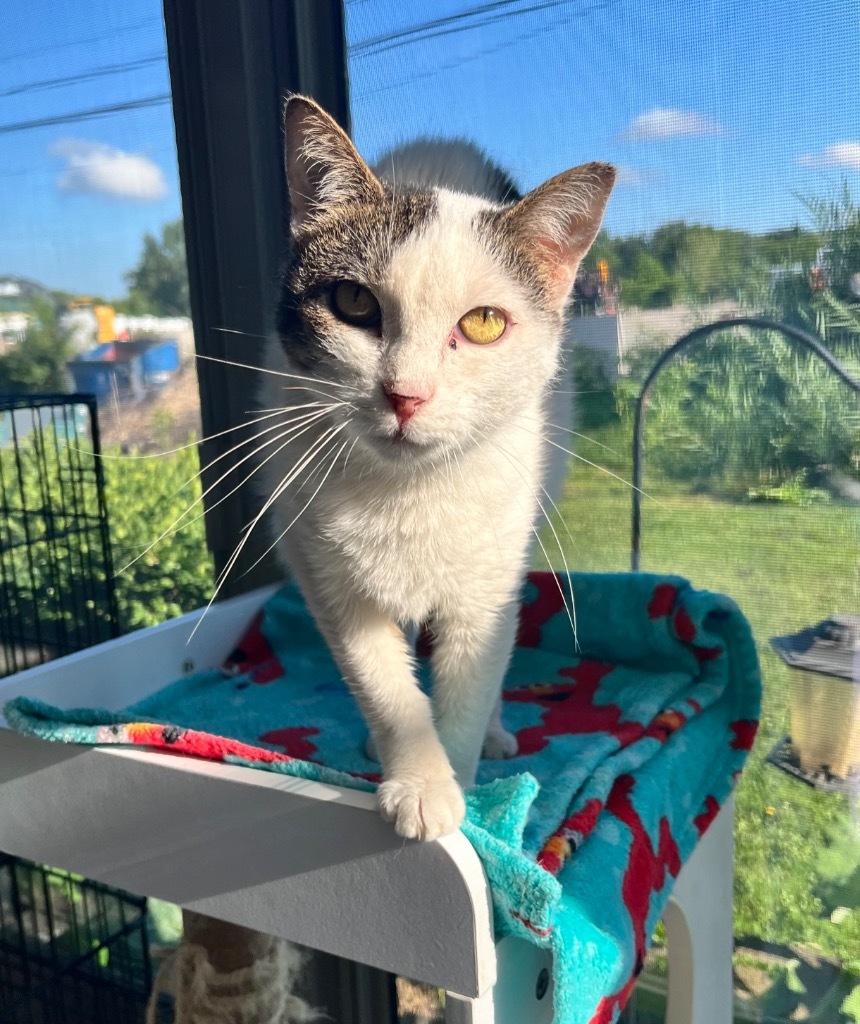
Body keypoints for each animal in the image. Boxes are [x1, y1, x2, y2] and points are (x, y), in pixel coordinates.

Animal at [259, 94, 614, 839]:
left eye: (483, 323)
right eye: (354, 304)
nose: (406, 394)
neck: (409, 491)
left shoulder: (491, 577)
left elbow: (472, 678)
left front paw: (464, 803)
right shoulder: (323, 570)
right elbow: (382, 680)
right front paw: (419, 780)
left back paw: (498, 733)